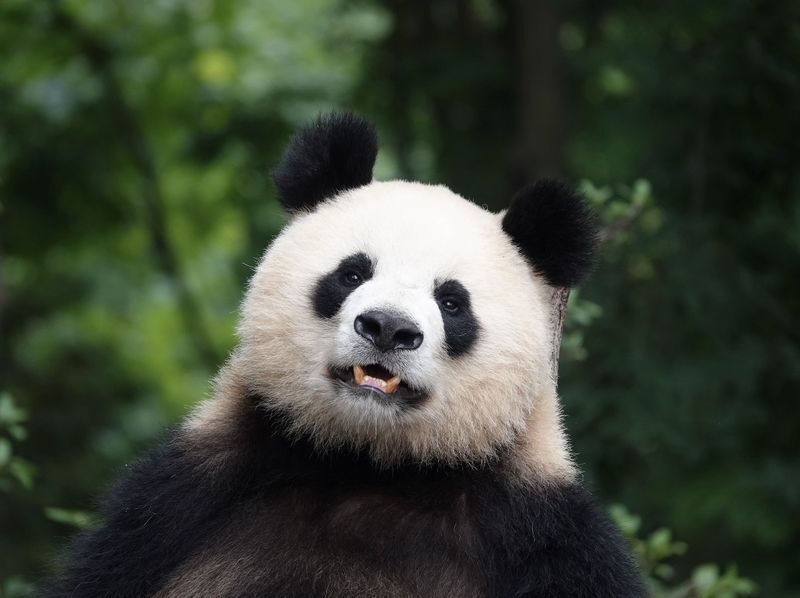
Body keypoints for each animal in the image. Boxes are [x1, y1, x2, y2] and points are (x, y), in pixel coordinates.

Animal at [46, 113, 645, 597]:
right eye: (352, 273)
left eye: (452, 302)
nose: (388, 328)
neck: (369, 463)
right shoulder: (182, 499)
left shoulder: (541, 535)